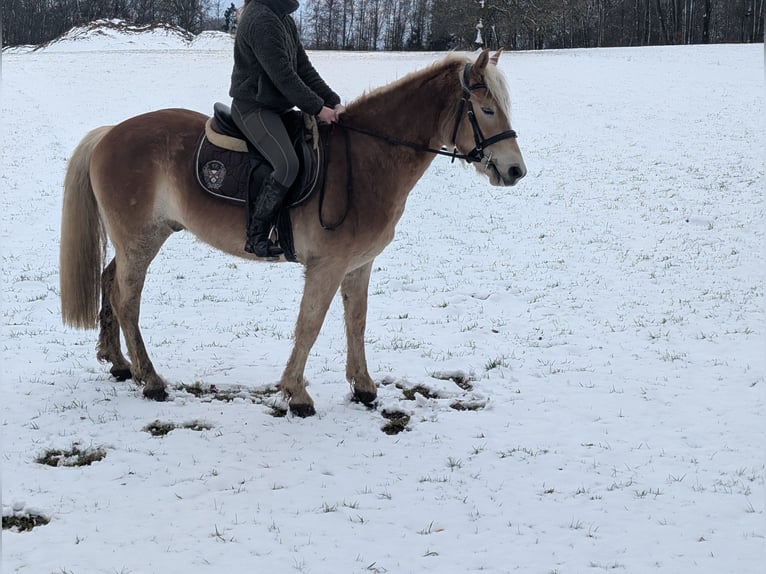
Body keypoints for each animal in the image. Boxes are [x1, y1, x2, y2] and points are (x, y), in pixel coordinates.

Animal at [59, 49, 527, 417]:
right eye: (487, 110)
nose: (515, 171)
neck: (368, 158)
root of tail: (110, 134)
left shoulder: (358, 265)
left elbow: (356, 322)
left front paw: (363, 388)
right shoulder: (327, 266)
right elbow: (310, 324)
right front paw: (297, 394)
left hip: (142, 239)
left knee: (109, 282)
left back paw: (119, 363)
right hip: (140, 240)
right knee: (126, 300)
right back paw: (151, 380)